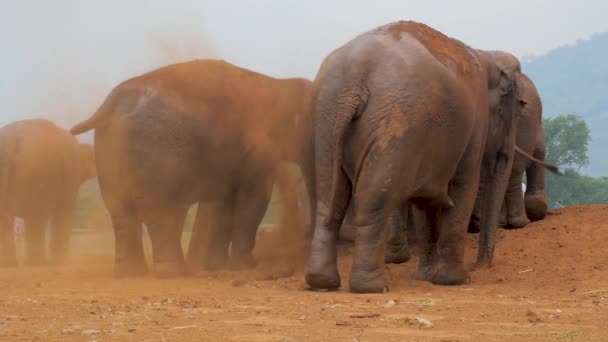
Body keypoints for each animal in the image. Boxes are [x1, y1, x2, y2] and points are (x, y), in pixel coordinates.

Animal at [0, 119, 95, 266]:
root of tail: (10, 143)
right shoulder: (72, 174)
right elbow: (66, 211)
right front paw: (60, 262)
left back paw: (13, 264)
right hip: (38, 173)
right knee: (36, 216)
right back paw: (37, 263)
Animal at [70, 58, 316, 278]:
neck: (278, 83)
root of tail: (109, 104)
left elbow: (225, 203)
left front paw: (217, 266)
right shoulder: (259, 149)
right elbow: (254, 200)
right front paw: (246, 266)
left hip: (109, 149)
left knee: (121, 212)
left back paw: (130, 273)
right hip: (159, 151)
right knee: (164, 210)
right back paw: (173, 272)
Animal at [304, 20, 528, 294]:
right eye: (518, 106)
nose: (481, 267)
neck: (484, 54)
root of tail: (353, 82)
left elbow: (425, 200)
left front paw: (426, 276)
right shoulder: (475, 124)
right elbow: (464, 183)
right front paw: (453, 280)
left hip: (326, 122)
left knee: (329, 199)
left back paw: (322, 282)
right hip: (396, 123)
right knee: (373, 199)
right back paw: (372, 286)